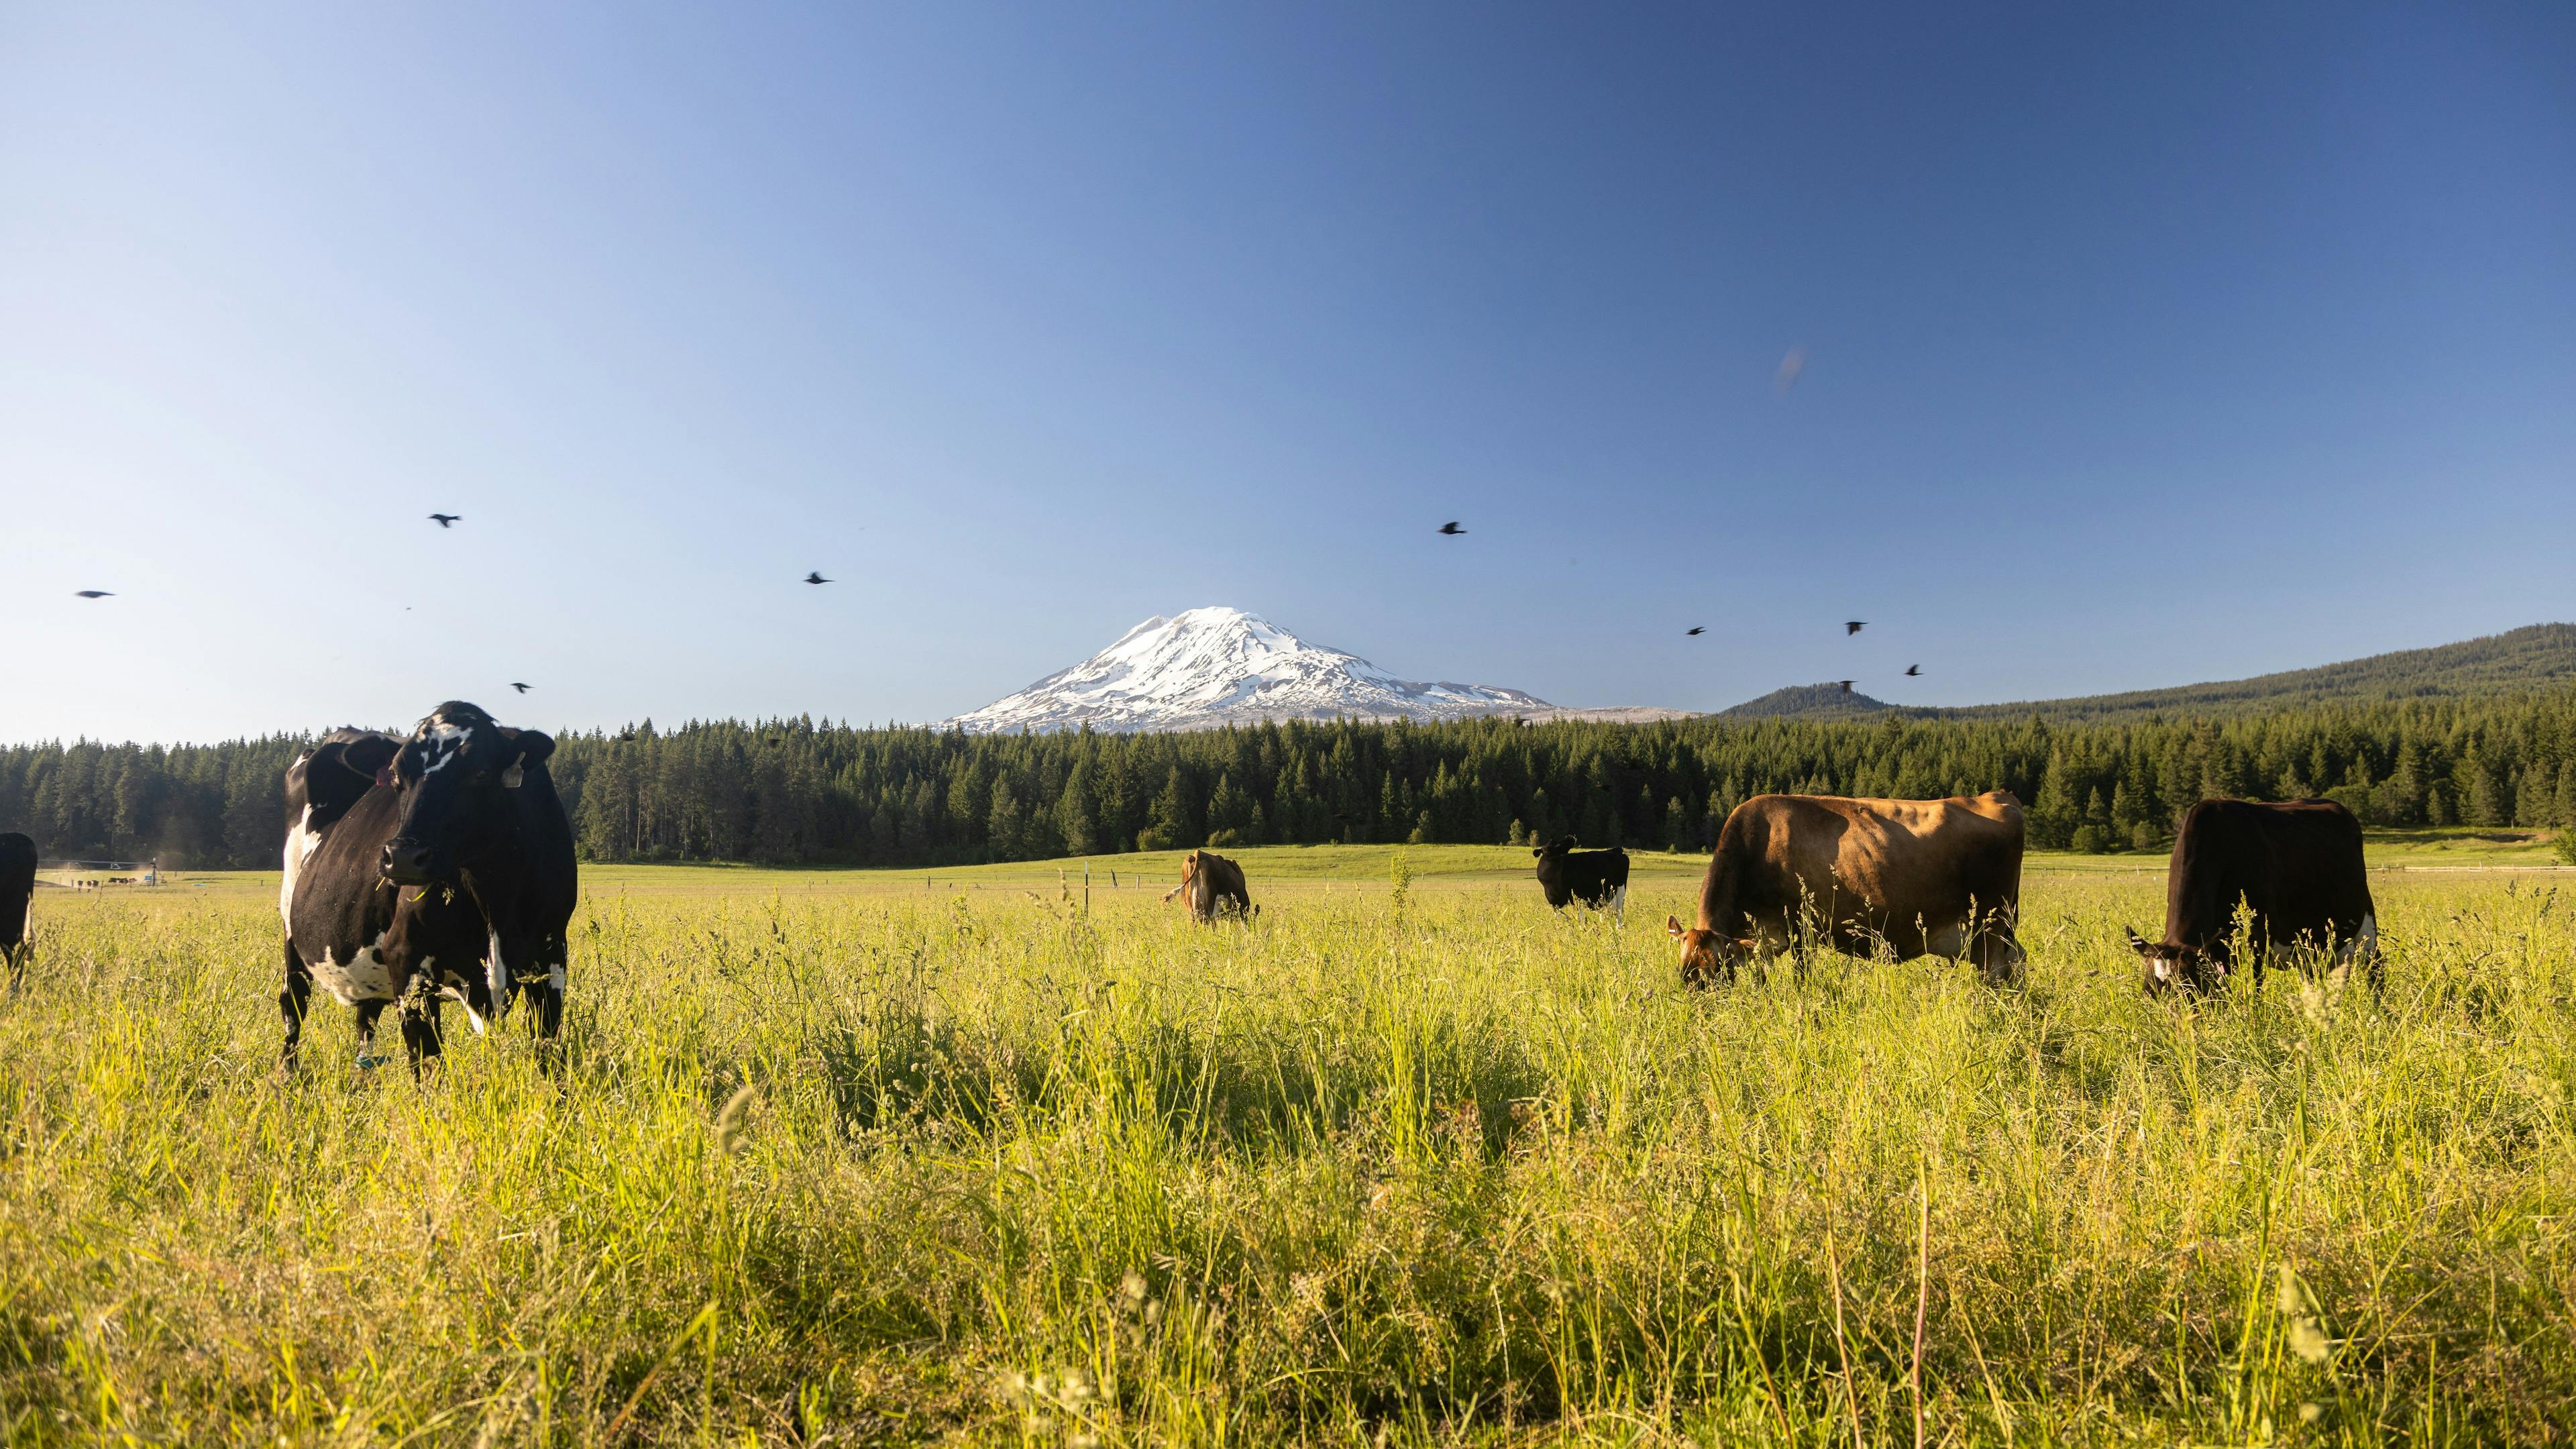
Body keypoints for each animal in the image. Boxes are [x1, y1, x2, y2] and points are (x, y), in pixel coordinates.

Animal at [279, 706, 577, 1067]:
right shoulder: (405, 956)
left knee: (366, 1019)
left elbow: (548, 1052)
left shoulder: (551, 956)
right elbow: (427, 1062)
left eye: (480, 772)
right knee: (294, 1004)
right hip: (291, 924)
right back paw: (287, 1074)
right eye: (396, 775)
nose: (403, 856)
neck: (494, 899)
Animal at [1525, 835, 1627, 912]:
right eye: (1549, 847)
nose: (1570, 836)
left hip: (1619, 891)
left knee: (1619, 912)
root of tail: (1616, 850)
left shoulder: (1576, 897)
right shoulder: (1554, 901)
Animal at [1669, 789, 2029, 979]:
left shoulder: (1800, 927)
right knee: (2019, 960)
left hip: (1989, 926)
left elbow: (1802, 977)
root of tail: (1998, 797)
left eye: (1712, 971)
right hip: (2001, 927)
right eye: (1682, 972)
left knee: (1999, 971)